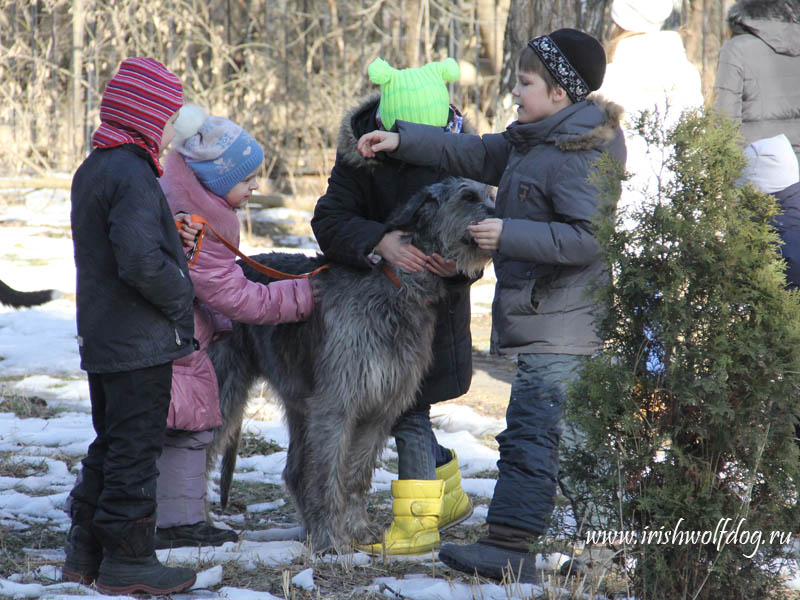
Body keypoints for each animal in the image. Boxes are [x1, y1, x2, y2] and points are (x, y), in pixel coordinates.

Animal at [209, 177, 490, 552]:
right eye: (468, 196)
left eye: (490, 195)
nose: (502, 218)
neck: (396, 289)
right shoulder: (336, 403)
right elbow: (329, 475)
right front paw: (330, 539)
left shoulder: (381, 406)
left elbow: (356, 475)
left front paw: (358, 530)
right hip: (223, 386)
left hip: (299, 400)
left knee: (294, 471)